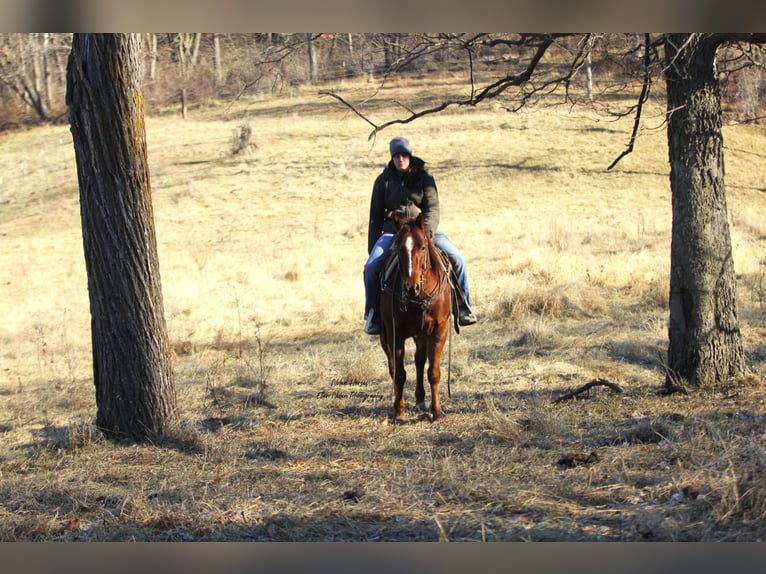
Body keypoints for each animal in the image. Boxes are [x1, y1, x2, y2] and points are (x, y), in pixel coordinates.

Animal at [380, 213, 452, 424]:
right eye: (398, 248)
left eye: (422, 247)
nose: (411, 287)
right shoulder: (394, 333)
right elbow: (399, 373)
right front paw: (399, 410)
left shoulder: (440, 329)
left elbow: (433, 372)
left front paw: (436, 411)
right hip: (385, 336)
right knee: (394, 367)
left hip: (421, 335)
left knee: (420, 361)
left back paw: (421, 400)